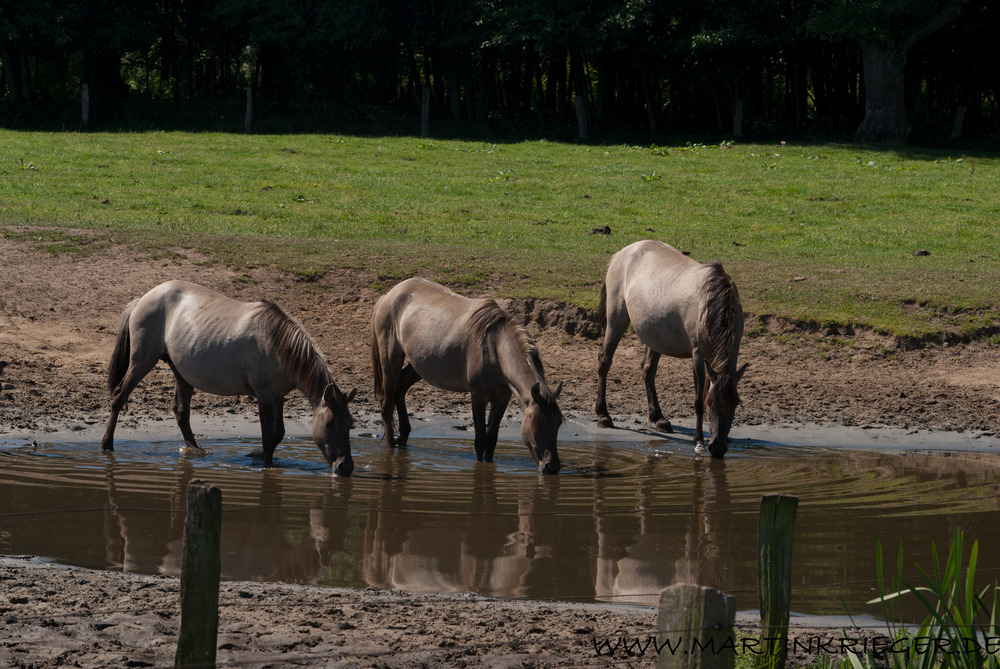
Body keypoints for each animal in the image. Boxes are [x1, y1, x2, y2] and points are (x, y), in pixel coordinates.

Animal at [99, 278, 358, 474]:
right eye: (329, 422)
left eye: (350, 424)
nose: (345, 467)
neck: (277, 344)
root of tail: (143, 298)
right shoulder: (264, 397)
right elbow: (268, 436)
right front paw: (266, 464)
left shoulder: (278, 397)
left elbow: (279, 434)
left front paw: (256, 455)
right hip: (141, 363)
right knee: (119, 398)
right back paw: (106, 444)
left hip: (181, 373)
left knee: (181, 413)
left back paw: (196, 451)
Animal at [374, 278, 564, 474]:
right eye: (536, 424)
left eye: (558, 423)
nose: (552, 466)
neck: (496, 349)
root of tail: (389, 295)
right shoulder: (478, 397)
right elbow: (480, 441)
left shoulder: (502, 398)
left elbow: (492, 440)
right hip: (390, 359)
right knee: (387, 404)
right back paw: (390, 448)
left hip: (418, 365)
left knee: (400, 388)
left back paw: (403, 437)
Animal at [592, 241, 744, 460]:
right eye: (710, 403)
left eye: (735, 404)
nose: (717, 449)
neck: (711, 304)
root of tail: (623, 252)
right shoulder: (697, 355)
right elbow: (697, 399)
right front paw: (698, 440)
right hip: (616, 320)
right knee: (604, 361)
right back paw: (603, 415)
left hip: (655, 336)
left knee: (648, 370)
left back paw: (659, 418)